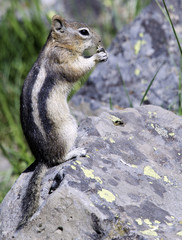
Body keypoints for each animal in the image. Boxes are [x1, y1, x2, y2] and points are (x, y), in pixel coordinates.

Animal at [17, 14, 106, 229]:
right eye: (84, 32)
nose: (100, 41)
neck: (58, 45)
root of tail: (43, 158)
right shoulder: (64, 60)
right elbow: (78, 68)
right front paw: (97, 57)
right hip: (69, 127)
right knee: (59, 159)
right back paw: (75, 151)